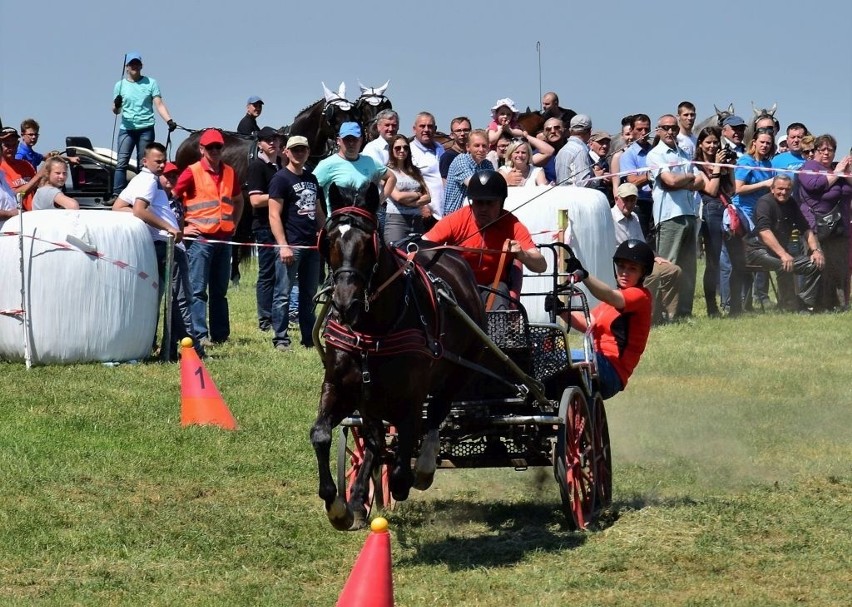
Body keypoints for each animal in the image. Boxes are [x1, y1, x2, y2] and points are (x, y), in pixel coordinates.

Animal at [312, 183, 486, 528]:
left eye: (368, 243)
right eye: (329, 240)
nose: (345, 305)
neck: (372, 330)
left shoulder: (412, 397)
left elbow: (406, 445)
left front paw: (404, 480)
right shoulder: (341, 388)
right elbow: (323, 434)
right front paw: (338, 505)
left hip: (459, 371)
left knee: (436, 414)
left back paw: (424, 468)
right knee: (376, 439)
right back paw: (358, 497)